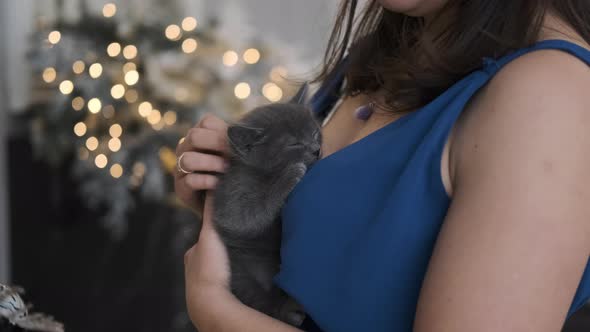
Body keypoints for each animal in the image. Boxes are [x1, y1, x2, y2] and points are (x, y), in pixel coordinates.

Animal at [214, 89, 324, 326]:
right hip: (245, 273)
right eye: (294, 144)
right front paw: (289, 175)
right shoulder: (232, 196)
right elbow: (248, 217)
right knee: (260, 300)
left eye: (314, 133)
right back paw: (288, 309)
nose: (317, 150)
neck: (264, 175)